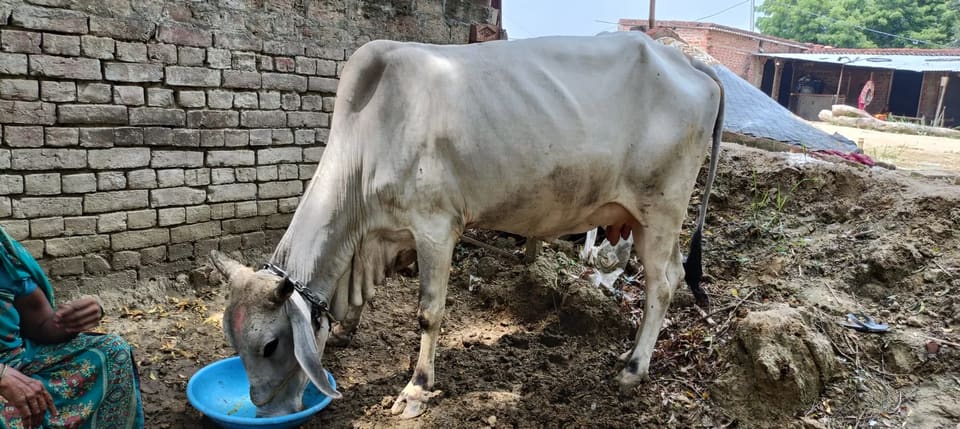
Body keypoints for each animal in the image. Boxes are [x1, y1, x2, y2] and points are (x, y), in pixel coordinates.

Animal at [209, 31, 724, 419]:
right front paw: (346, 331)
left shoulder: (436, 227)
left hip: (660, 212)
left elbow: (429, 312)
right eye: (232, 342)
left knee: (664, 283)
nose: (265, 412)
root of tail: (688, 62)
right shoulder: (384, 236)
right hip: (643, 219)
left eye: (271, 345)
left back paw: (633, 368)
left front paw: (416, 389)